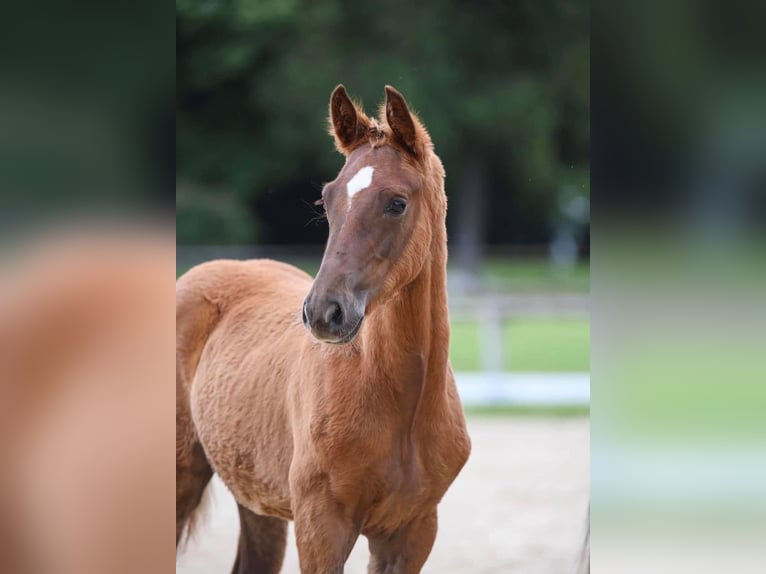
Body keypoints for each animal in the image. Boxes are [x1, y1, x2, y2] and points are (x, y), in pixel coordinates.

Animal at [177, 85, 472, 574]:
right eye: (327, 200)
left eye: (397, 203)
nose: (323, 312)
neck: (398, 401)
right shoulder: (321, 526)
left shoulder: (412, 531)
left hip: (256, 497)